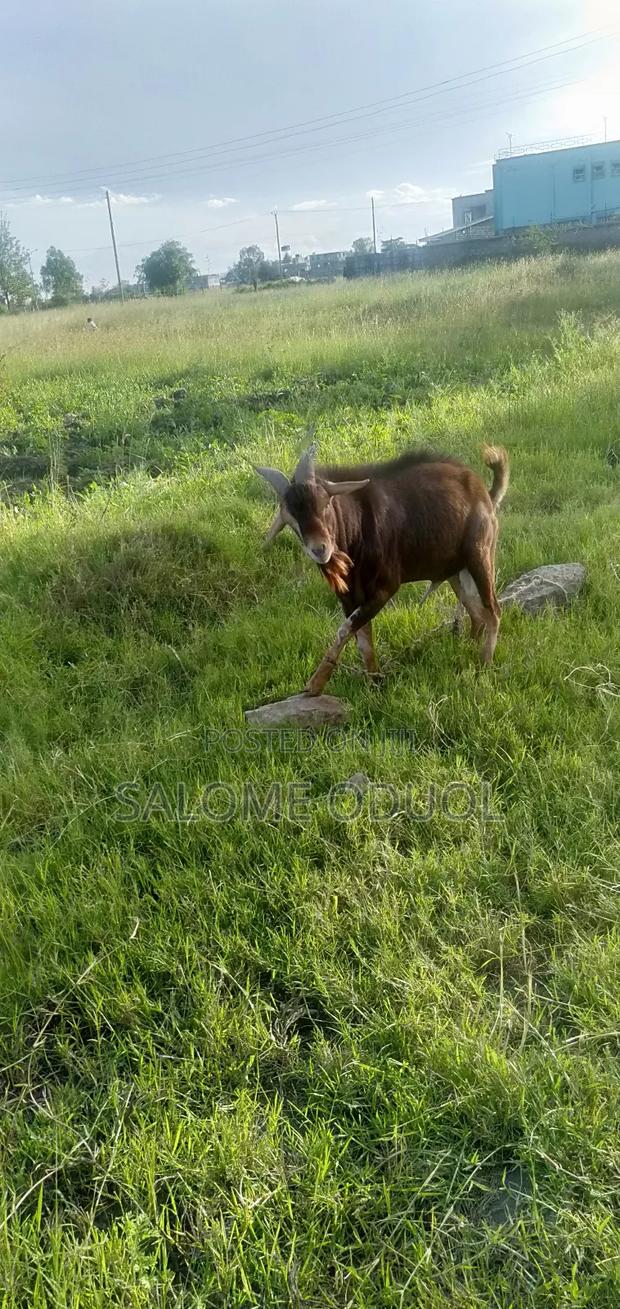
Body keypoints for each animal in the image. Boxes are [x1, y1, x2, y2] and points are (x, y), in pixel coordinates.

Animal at [254, 443, 509, 695]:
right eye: (291, 519)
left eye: (325, 504)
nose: (320, 549)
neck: (356, 527)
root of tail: (485, 494)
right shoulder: (349, 597)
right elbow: (363, 639)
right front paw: (375, 682)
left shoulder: (384, 589)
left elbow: (345, 630)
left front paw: (315, 684)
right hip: (455, 572)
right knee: (476, 612)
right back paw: (468, 648)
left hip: (480, 557)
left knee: (493, 610)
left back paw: (484, 664)